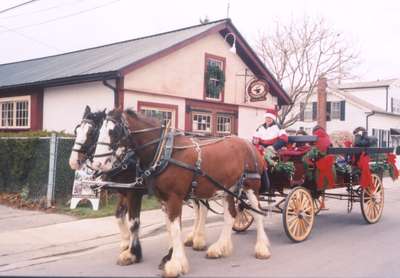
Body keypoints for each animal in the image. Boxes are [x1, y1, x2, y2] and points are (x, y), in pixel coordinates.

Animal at [91, 109, 272, 278]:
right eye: (98, 131)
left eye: (113, 131)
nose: (96, 164)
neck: (165, 152)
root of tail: (249, 145)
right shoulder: (163, 199)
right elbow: (170, 228)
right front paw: (168, 257)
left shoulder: (173, 198)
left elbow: (174, 228)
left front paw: (175, 263)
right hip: (229, 189)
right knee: (230, 216)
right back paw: (221, 247)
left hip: (251, 187)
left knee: (258, 214)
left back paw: (261, 248)